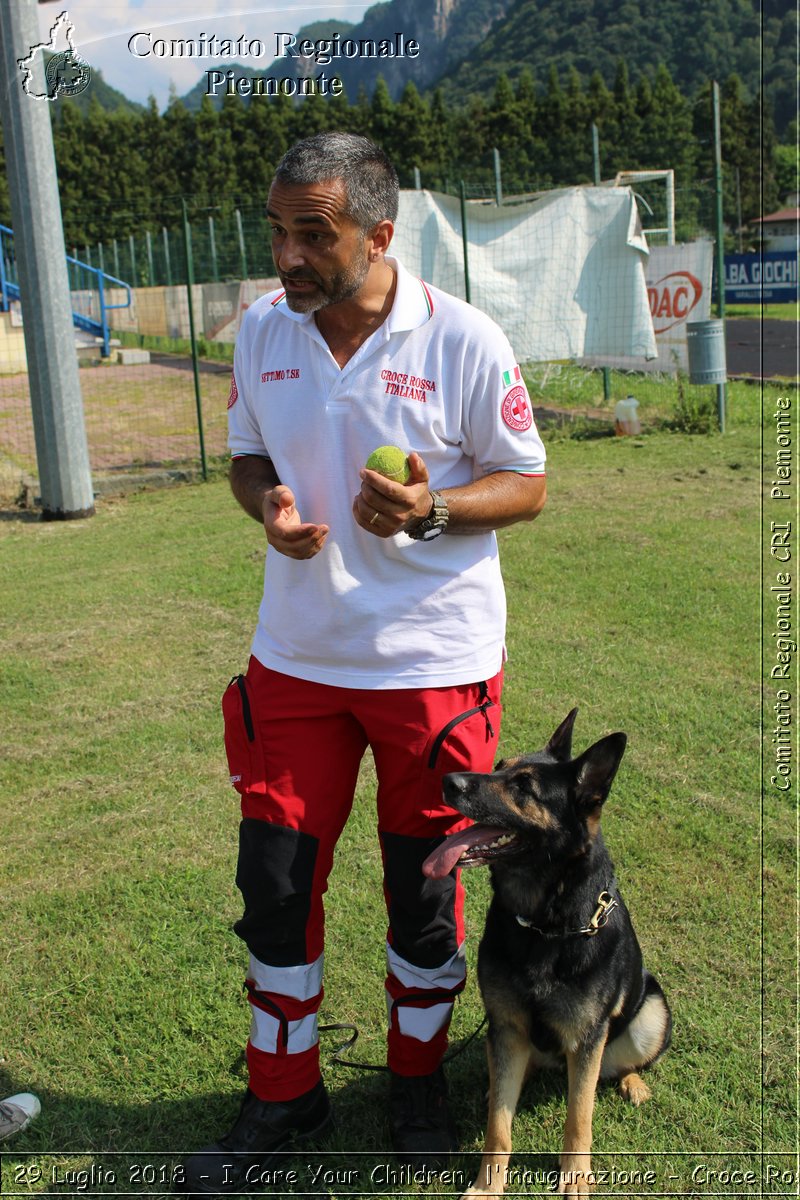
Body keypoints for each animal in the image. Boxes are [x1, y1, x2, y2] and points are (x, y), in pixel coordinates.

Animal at [422, 705, 671, 1195]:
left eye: (524, 787)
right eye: (499, 766)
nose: (447, 780)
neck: (545, 924)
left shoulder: (588, 1039)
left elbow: (579, 1118)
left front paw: (575, 1179)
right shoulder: (506, 1024)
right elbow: (499, 1126)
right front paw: (488, 1186)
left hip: (652, 1012)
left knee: (617, 1067)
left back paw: (633, 1083)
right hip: (507, 1037)